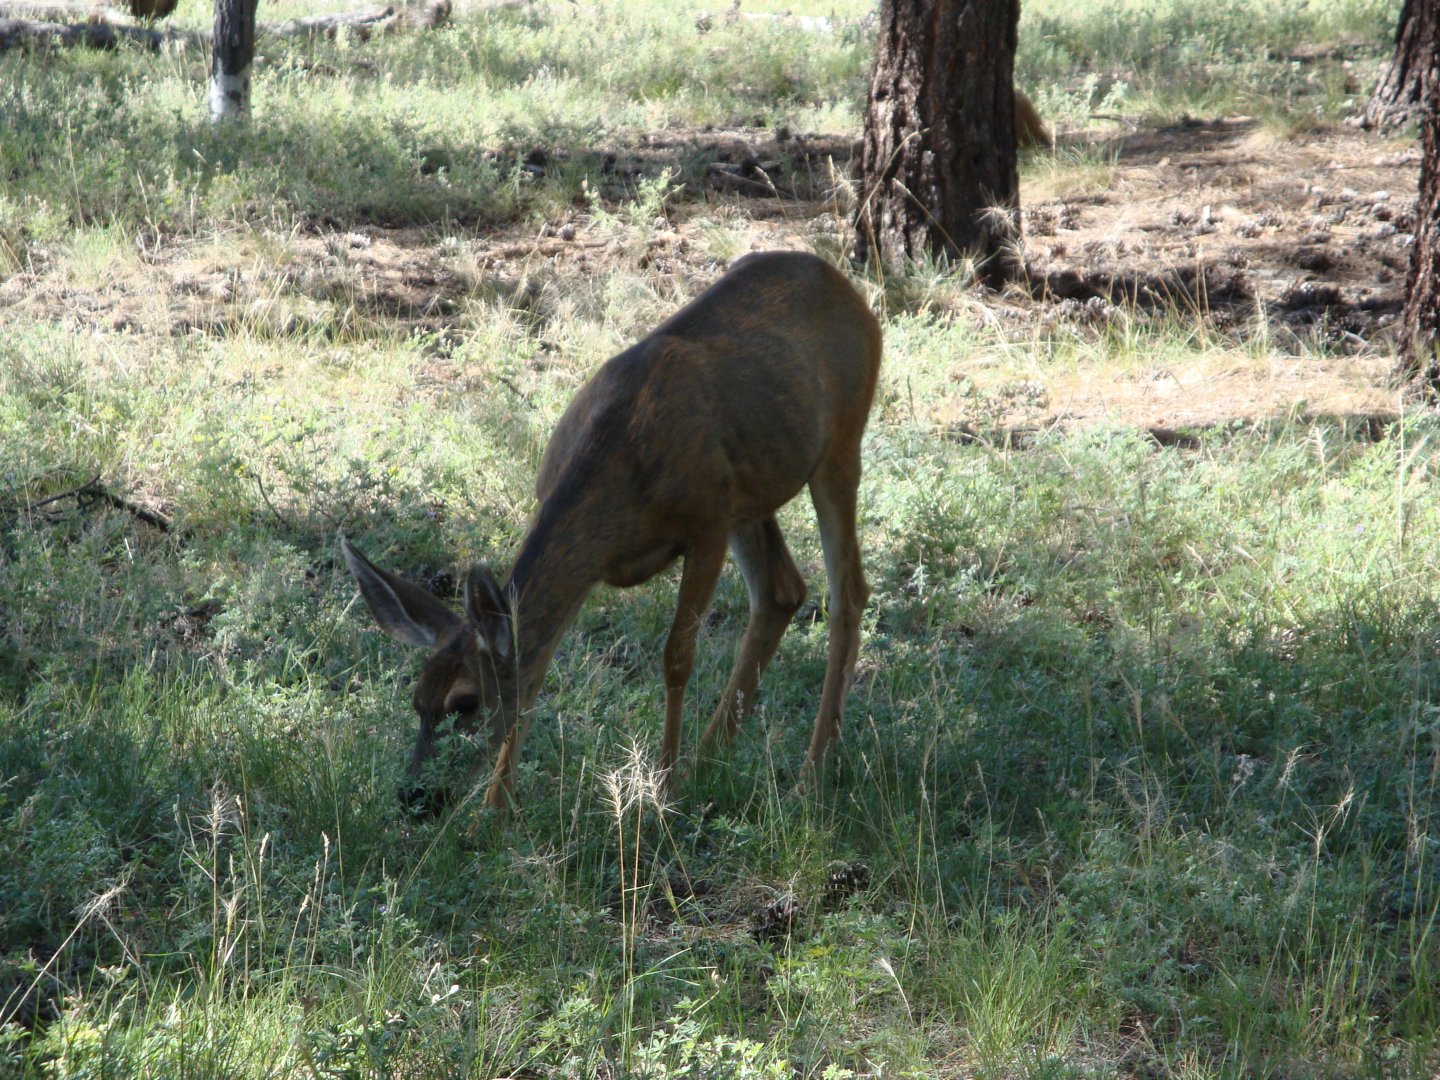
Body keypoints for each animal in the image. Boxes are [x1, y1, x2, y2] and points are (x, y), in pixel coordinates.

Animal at [340, 250, 882, 812]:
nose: (415, 795)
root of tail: (847, 286)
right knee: (782, 590)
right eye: (417, 699)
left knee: (848, 593)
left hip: (840, 442)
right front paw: (495, 810)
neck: (620, 473)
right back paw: (708, 760)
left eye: (465, 701)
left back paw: (808, 774)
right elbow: (536, 670)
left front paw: (662, 790)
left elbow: (676, 658)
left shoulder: (707, 522)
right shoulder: (596, 559)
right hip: (754, 488)